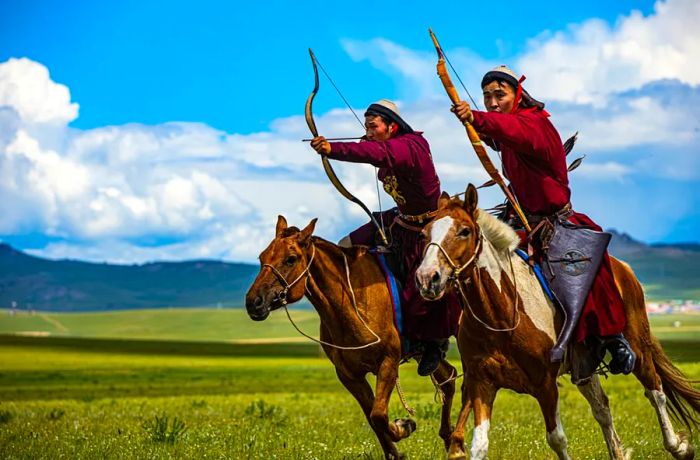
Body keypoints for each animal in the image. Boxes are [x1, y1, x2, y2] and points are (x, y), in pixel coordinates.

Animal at [246, 217, 460, 460]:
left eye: (291, 259)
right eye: (262, 257)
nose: (254, 302)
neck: (352, 301)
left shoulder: (388, 362)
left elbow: (378, 414)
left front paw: (404, 426)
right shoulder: (349, 375)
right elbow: (373, 418)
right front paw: (396, 450)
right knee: (448, 377)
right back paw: (449, 438)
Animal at [416, 186, 700, 460]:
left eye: (464, 231)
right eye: (424, 233)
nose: (427, 278)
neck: (501, 315)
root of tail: (624, 269)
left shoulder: (546, 385)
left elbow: (557, 439)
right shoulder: (481, 384)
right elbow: (479, 445)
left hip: (638, 346)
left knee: (656, 392)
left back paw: (680, 447)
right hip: (584, 365)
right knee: (602, 408)